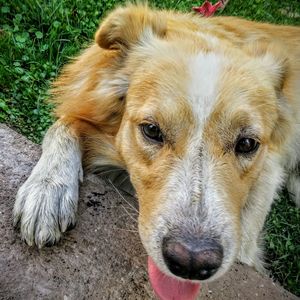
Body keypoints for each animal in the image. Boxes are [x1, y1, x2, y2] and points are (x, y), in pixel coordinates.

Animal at [13, 2, 300, 300]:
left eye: (246, 144)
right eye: (152, 130)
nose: (191, 262)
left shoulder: (269, 173)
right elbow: (64, 124)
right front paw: (47, 190)